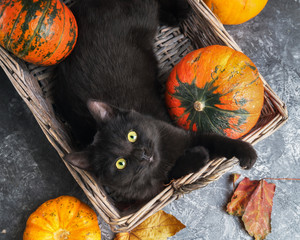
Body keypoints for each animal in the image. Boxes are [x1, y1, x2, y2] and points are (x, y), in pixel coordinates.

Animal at [54, 0, 258, 209]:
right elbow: (176, 170)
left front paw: (247, 153)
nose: (143, 154)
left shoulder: (188, 136)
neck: (162, 156)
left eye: (132, 136)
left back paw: (181, 11)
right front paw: (199, 155)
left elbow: (219, 141)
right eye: (120, 164)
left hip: (143, 15)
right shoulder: (157, 186)